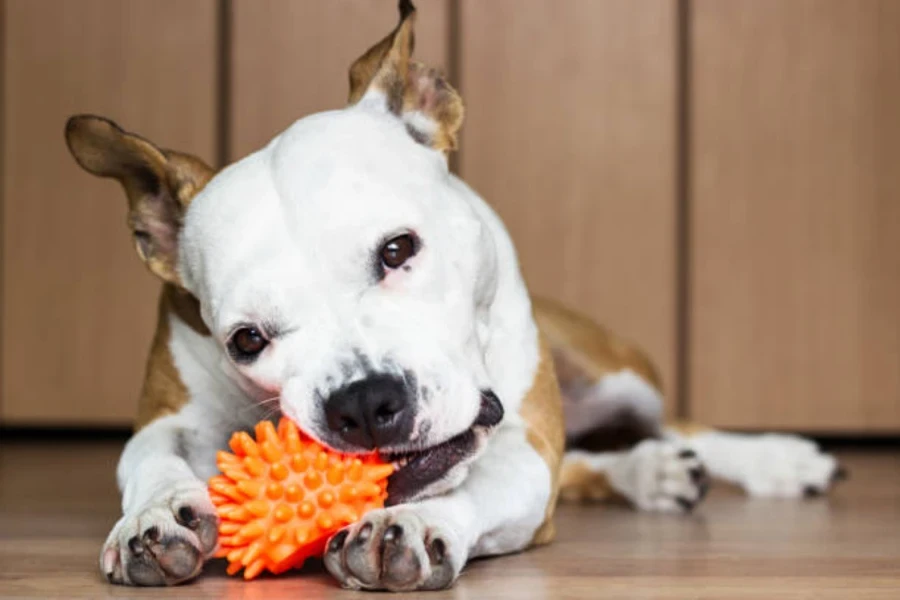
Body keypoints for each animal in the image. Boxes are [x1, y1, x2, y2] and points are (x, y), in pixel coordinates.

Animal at [63, 0, 844, 592]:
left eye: (398, 249)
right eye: (247, 340)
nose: (364, 402)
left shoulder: (526, 448)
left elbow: (481, 485)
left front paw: (413, 524)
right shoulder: (167, 412)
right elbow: (149, 457)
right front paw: (154, 517)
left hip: (619, 375)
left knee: (675, 425)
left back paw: (778, 461)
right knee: (593, 464)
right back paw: (649, 474)